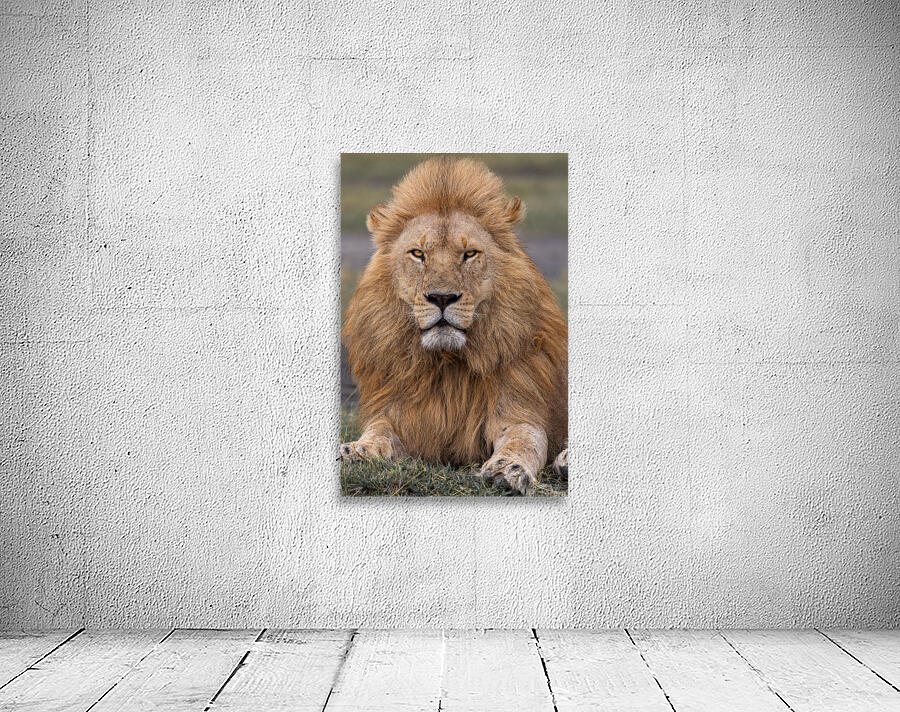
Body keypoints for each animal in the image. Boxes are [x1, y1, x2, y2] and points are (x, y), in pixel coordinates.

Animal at [340, 156, 568, 495]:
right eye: (418, 254)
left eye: (469, 254)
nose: (442, 297)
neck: (448, 365)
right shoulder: (400, 413)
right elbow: (378, 431)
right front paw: (357, 450)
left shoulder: (521, 411)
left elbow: (523, 440)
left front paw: (508, 469)